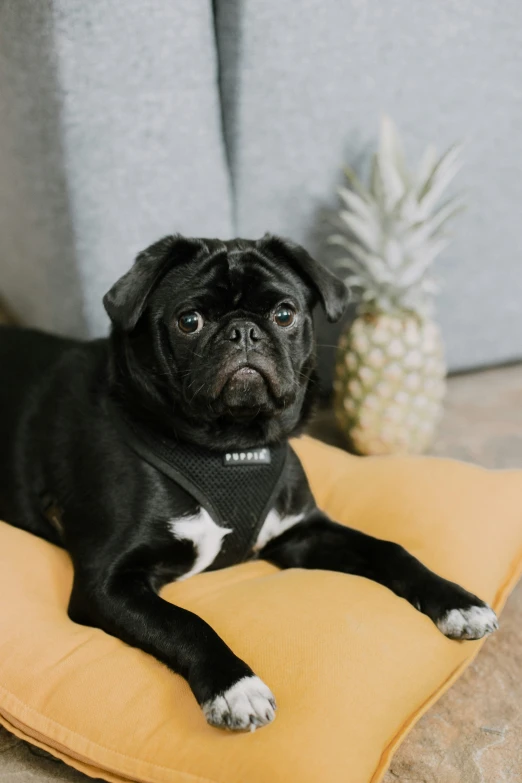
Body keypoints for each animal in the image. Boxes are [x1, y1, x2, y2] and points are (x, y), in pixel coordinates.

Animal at [0, 236, 496, 732]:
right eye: (189, 321)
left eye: (284, 314)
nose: (242, 332)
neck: (231, 447)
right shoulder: (107, 582)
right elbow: (184, 622)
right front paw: (235, 686)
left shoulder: (301, 532)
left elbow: (388, 548)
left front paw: (455, 600)